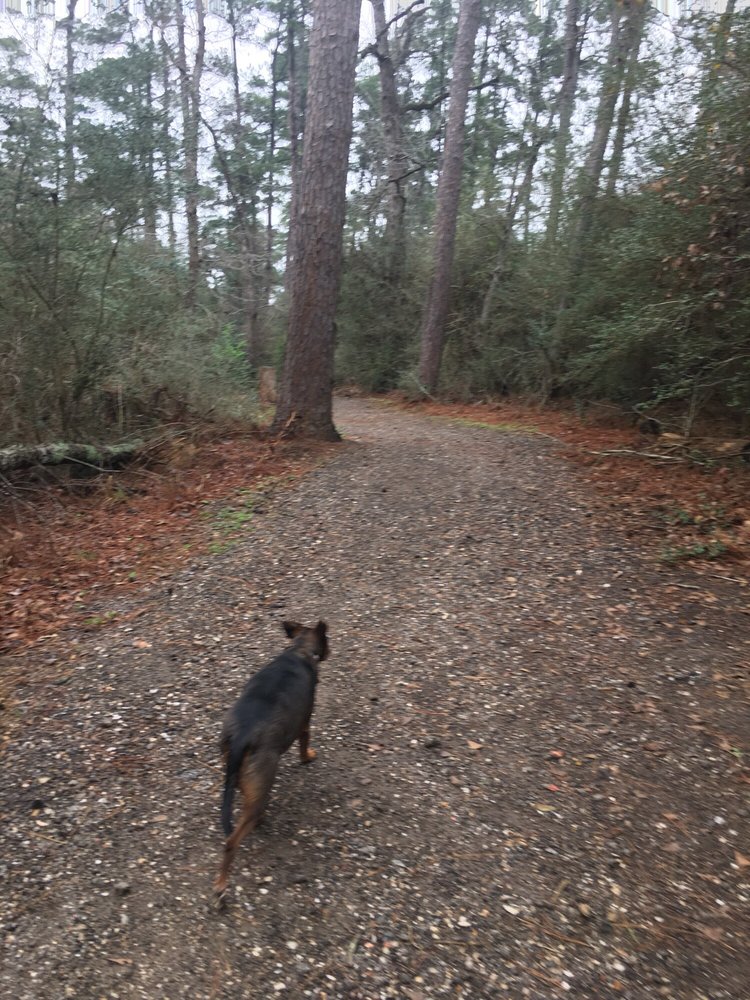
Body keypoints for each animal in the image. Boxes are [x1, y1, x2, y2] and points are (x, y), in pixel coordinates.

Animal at [213, 619, 329, 901]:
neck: (299, 650)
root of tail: (242, 736)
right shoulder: (305, 723)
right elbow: (305, 744)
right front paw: (308, 757)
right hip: (261, 782)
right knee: (231, 842)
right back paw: (222, 884)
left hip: (236, 773)